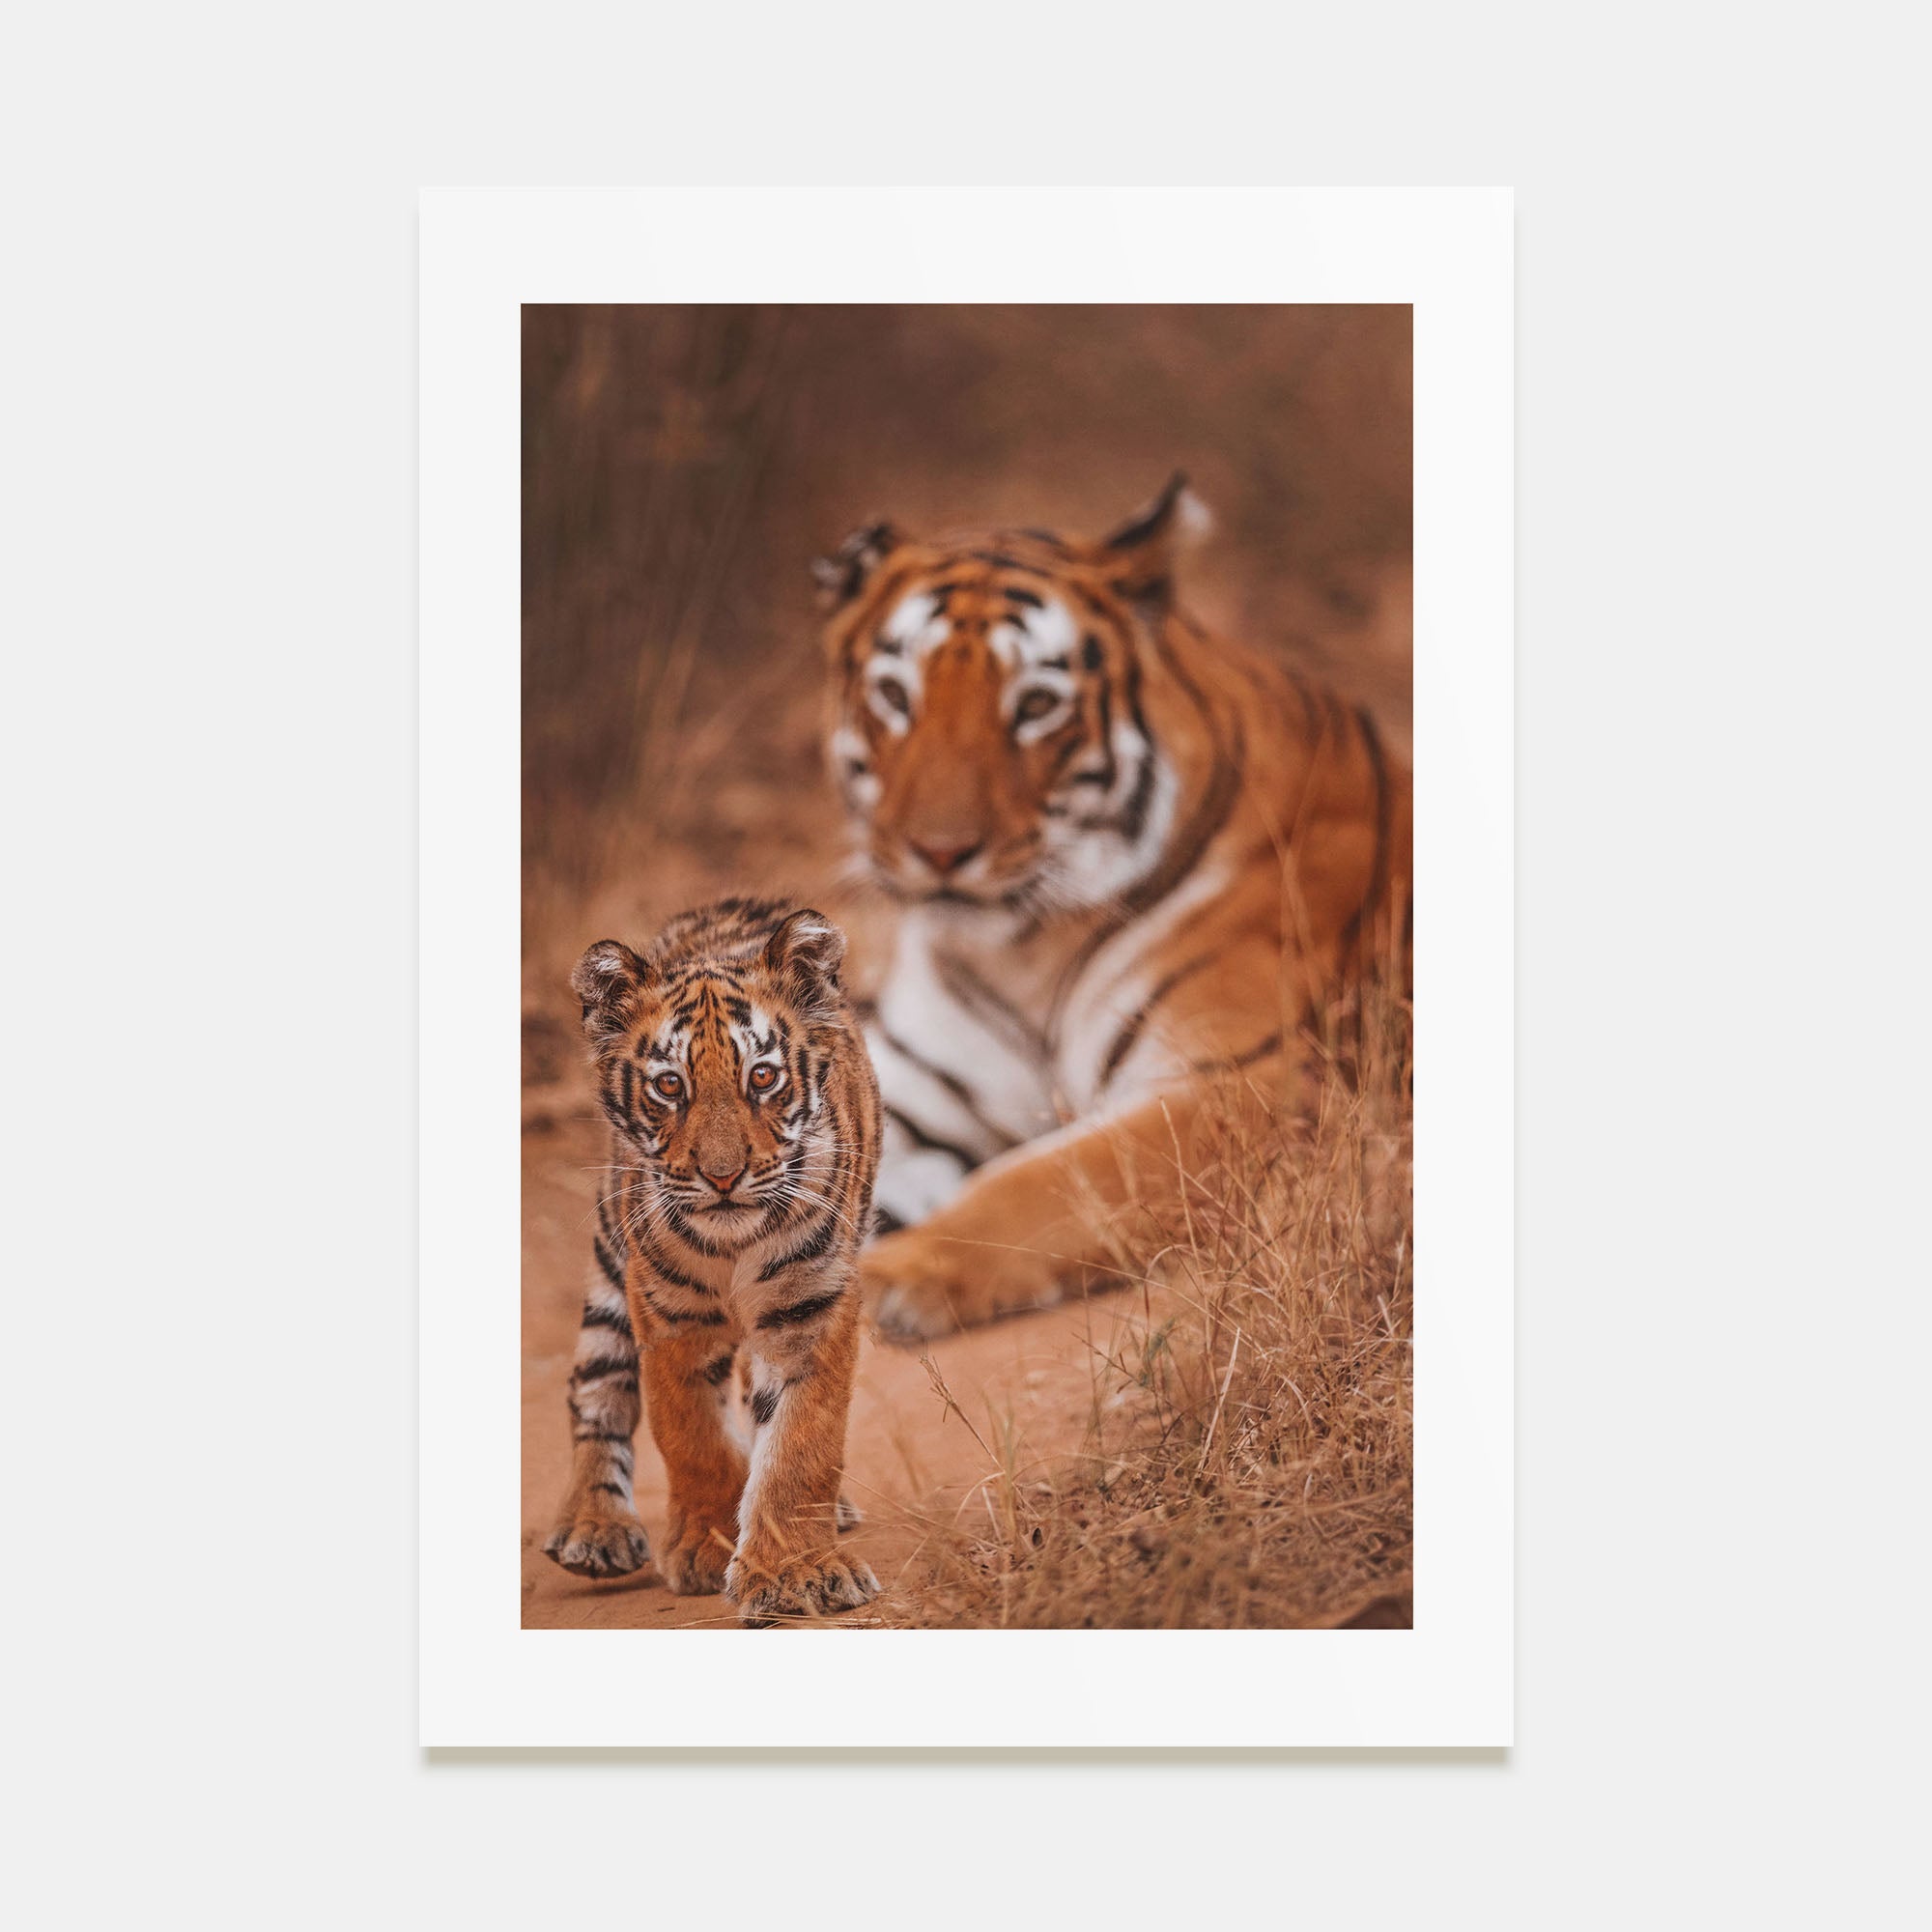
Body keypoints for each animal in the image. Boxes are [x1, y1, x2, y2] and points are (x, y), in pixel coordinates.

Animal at [543, 897, 884, 1626]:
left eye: (763, 1077)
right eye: (670, 1086)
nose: (722, 1177)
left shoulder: (811, 1308)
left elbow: (803, 1442)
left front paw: (795, 1570)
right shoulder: (669, 1316)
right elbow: (691, 1435)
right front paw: (707, 1546)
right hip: (612, 1257)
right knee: (595, 1383)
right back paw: (594, 1528)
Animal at [816, 473, 1411, 1342]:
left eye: (1035, 705)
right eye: (895, 696)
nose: (940, 851)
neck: (1021, 950)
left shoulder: (1241, 1088)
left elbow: (1044, 1182)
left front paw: (898, 1275)